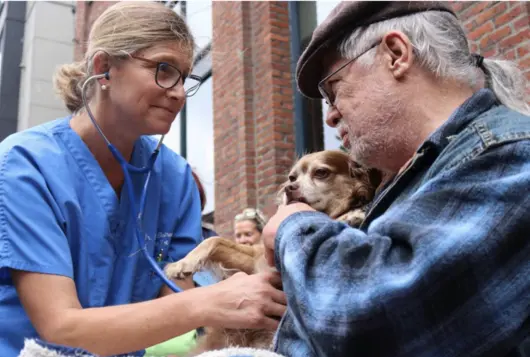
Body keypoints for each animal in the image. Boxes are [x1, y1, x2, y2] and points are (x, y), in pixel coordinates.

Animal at [165, 149, 380, 352]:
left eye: (321, 172)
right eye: (292, 177)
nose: (289, 188)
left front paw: (352, 215)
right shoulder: (256, 261)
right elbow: (214, 241)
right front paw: (181, 264)